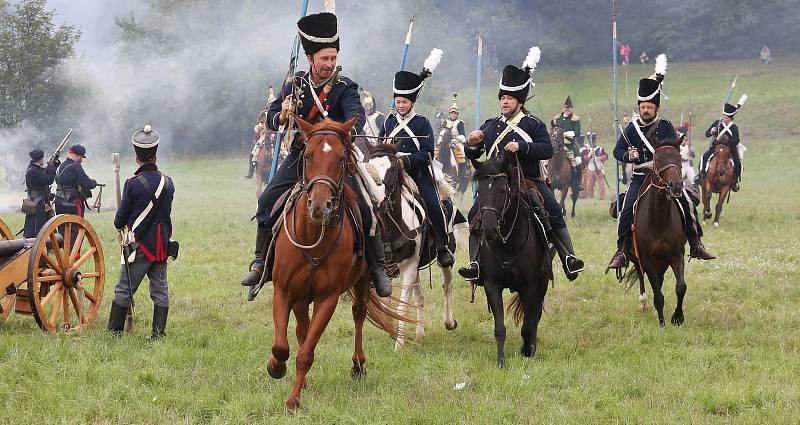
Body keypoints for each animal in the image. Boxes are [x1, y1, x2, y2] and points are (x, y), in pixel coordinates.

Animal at [268, 116, 412, 410]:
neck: (314, 237)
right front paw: (276, 367)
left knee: (358, 314)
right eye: (308, 155)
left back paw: (358, 365)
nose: (319, 206)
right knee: (301, 327)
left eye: (341, 157)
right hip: (301, 296)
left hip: (362, 281)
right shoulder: (284, 291)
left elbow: (306, 354)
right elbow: (282, 345)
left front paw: (293, 400)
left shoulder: (328, 298)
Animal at [368, 151, 460, 350]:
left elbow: (402, 304)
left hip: (446, 257)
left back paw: (449, 322)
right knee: (420, 297)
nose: (378, 199)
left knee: (446, 285)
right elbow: (387, 303)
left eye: (392, 169)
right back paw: (419, 335)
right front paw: (393, 331)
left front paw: (399, 344)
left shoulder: (409, 267)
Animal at [624, 137, 688, 326]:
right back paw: (644, 303)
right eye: (658, 159)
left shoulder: (676, 255)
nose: (676, 186)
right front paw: (662, 323)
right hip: (636, 258)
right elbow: (658, 295)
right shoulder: (647, 260)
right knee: (642, 278)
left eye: (679, 158)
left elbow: (680, 287)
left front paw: (677, 317)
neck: (659, 220)